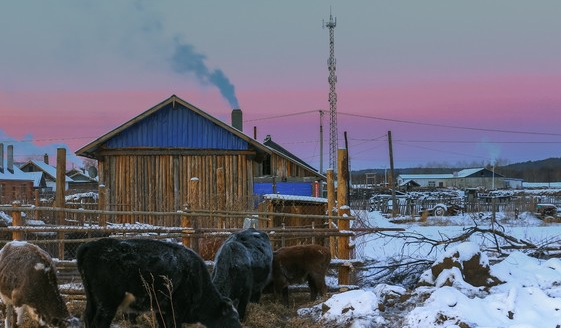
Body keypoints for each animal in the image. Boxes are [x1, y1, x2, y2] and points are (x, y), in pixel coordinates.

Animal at [75, 238, 240, 328]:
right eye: (233, 318)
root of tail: (91, 245)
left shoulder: (162, 310)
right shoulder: (176, 311)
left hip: (93, 298)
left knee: (88, 318)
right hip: (107, 302)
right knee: (99, 322)